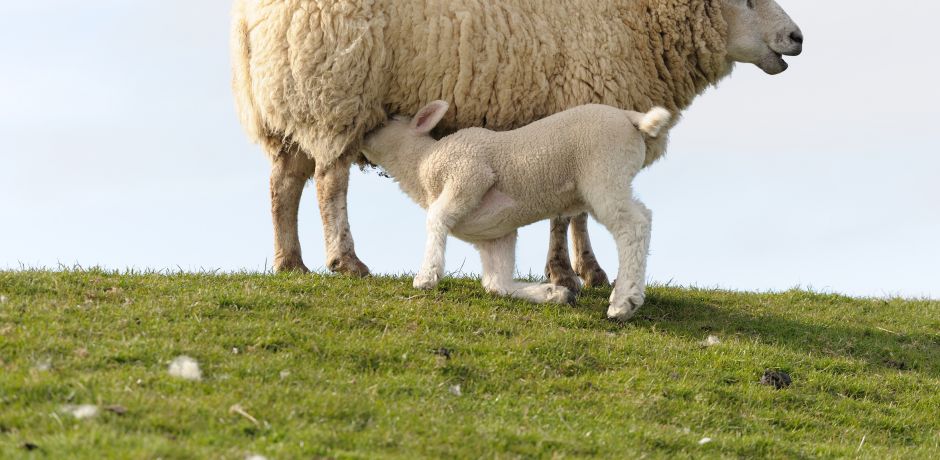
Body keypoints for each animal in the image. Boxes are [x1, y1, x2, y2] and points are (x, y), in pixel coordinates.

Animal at [231, 1, 804, 286]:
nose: (798, 37)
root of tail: (252, 17)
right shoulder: (583, 102)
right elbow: (570, 213)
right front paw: (576, 272)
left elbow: (569, 209)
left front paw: (577, 270)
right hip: (336, 93)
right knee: (330, 182)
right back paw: (345, 260)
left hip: (288, 105)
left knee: (283, 185)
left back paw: (290, 262)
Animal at [364, 100, 672, 320]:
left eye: (389, 119)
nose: (365, 132)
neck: (421, 163)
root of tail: (630, 118)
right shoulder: (496, 235)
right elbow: (496, 284)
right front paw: (553, 293)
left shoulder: (469, 173)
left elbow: (436, 217)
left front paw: (426, 276)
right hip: (611, 174)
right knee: (640, 218)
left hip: (604, 172)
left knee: (634, 224)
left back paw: (623, 302)